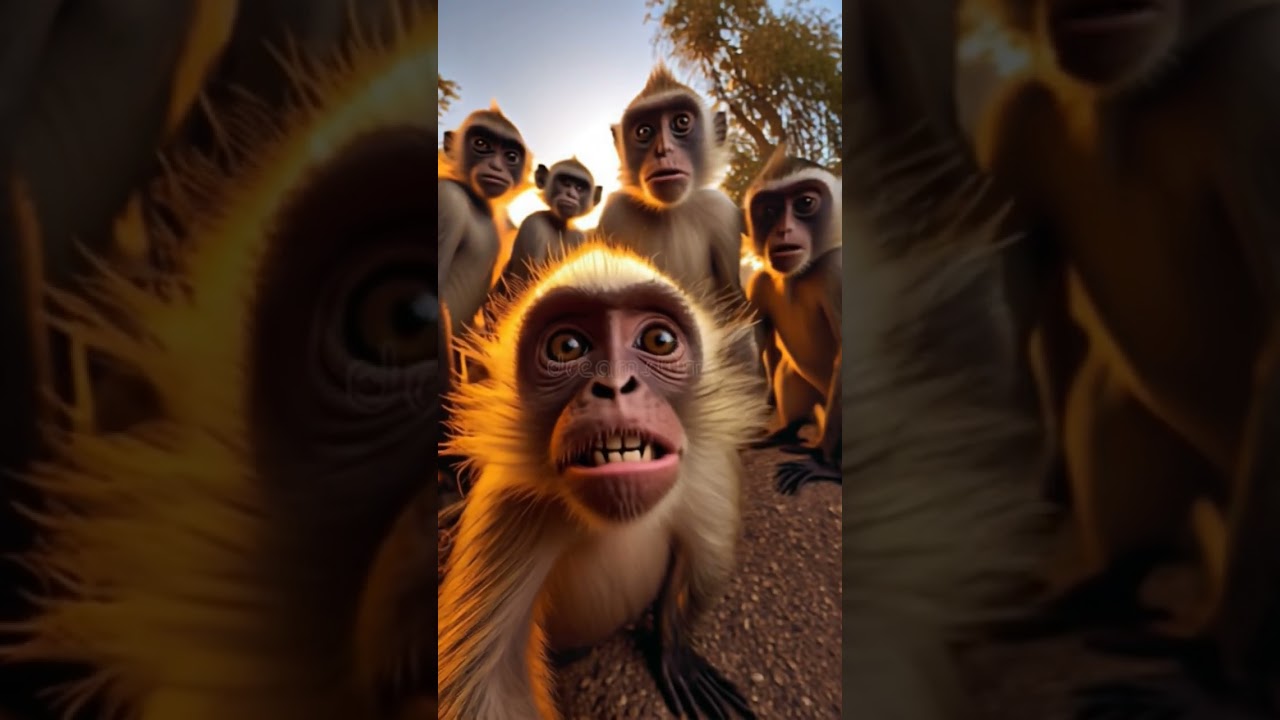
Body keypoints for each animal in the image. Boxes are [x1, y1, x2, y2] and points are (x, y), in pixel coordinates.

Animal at [437, 242, 767, 720]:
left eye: (659, 340)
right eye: (567, 346)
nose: (614, 386)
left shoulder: (711, 469)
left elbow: (707, 560)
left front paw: (674, 651)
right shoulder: (509, 510)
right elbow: (488, 689)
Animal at [496, 158, 602, 294]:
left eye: (579, 188)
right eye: (565, 183)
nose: (571, 194)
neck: (559, 224)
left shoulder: (580, 237)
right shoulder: (534, 224)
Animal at [596, 65, 745, 304]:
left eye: (682, 121)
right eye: (643, 131)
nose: (663, 150)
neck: (669, 211)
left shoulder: (722, 211)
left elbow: (733, 297)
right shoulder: (614, 213)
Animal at [738, 145, 843, 494]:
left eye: (805, 203)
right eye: (769, 210)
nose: (783, 230)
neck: (798, 275)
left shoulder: (835, 269)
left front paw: (824, 465)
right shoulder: (760, 282)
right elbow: (763, 343)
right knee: (788, 371)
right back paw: (786, 432)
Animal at [970, 0, 1280, 711]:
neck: (1128, 102)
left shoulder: (1255, 82)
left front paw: (1211, 660)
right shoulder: (1016, 123)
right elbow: (1017, 324)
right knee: (1109, 410)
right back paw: (1104, 587)